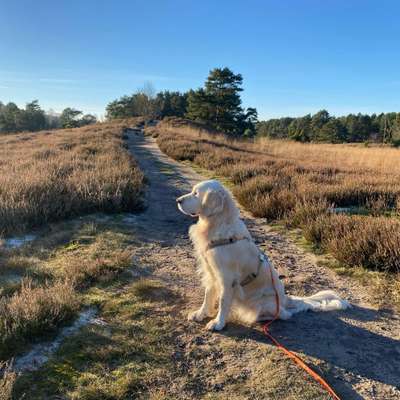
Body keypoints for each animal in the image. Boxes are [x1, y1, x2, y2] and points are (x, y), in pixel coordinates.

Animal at [177, 180, 348, 330]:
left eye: (196, 194)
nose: (178, 200)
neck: (217, 225)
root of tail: (285, 299)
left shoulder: (227, 278)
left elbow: (223, 301)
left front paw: (218, 323)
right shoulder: (210, 272)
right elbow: (208, 295)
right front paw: (200, 313)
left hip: (264, 302)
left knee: (284, 314)